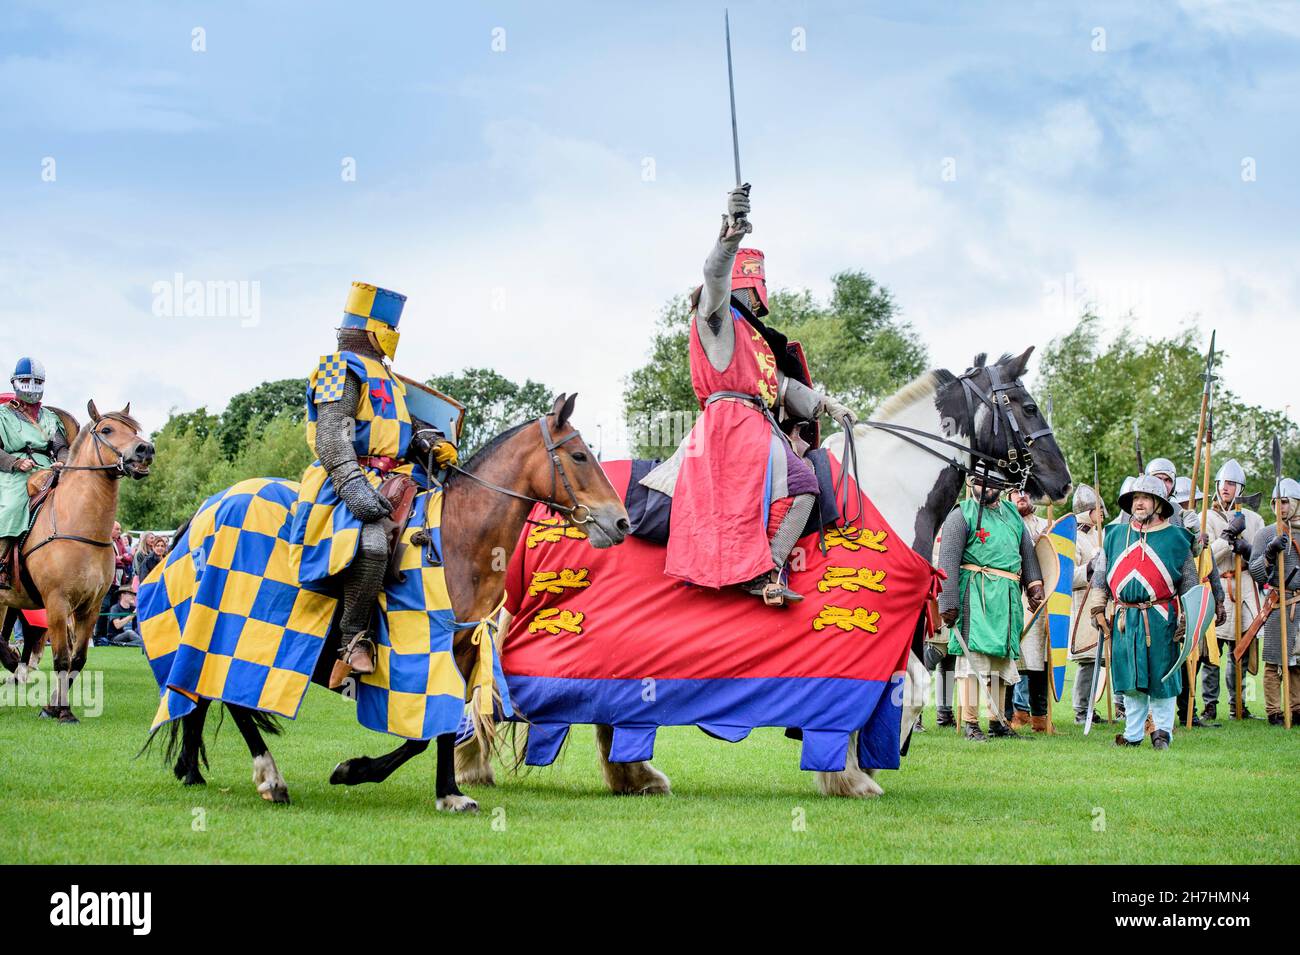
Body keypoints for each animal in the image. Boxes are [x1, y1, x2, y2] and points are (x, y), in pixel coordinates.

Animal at [0, 402, 153, 722]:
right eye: (107, 430)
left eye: (134, 430)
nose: (145, 449)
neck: (80, 526)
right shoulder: (57, 603)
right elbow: (61, 658)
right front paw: (62, 711)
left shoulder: (90, 608)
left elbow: (77, 659)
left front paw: (53, 706)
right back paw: (12, 664)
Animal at [162, 392, 629, 810]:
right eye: (580, 456)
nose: (621, 522)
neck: (457, 538)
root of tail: (211, 505)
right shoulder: (423, 651)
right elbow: (424, 734)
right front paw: (355, 770)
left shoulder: (460, 650)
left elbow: (437, 732)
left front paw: (447, 792)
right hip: (243, 622)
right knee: (229, 697)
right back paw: (269, 777)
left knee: (198, 691)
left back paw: (190, 769)